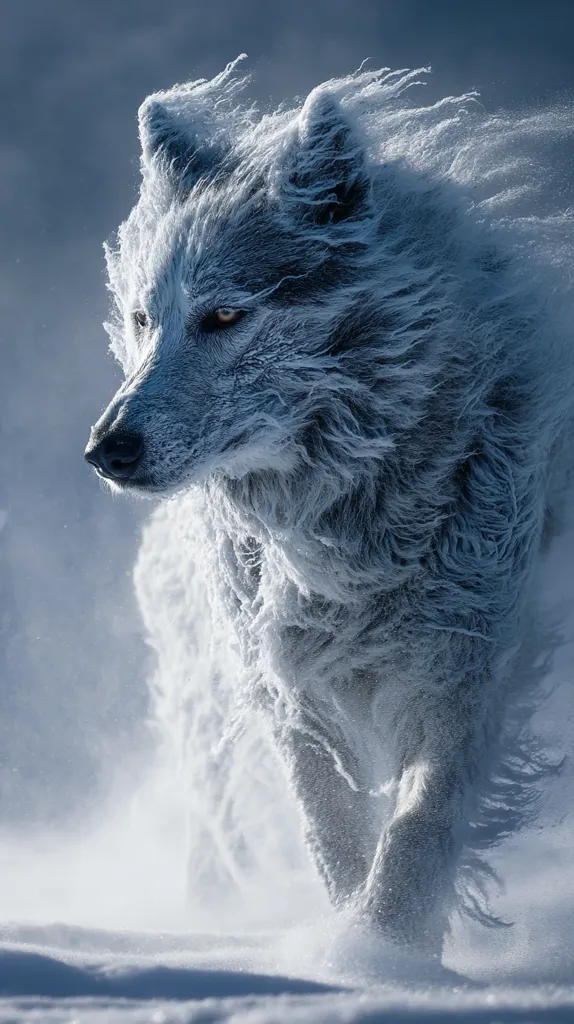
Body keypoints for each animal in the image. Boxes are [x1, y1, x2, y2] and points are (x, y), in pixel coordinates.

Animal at [85, 59, 573, 950]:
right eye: (143, 318)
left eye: (225, 314)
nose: (107, 450)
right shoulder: (286, 679)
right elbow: (330, 825)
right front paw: (351, 947)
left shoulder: (468, 663)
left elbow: (420, 825)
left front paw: (383, 956)